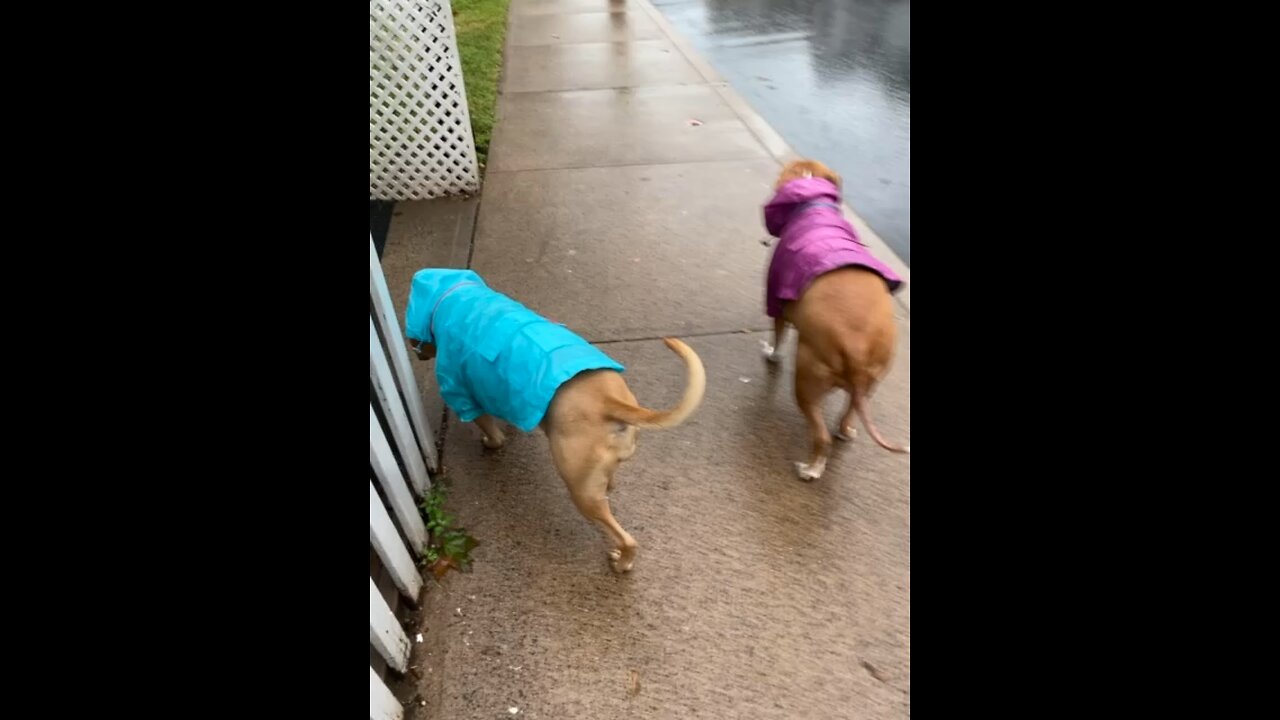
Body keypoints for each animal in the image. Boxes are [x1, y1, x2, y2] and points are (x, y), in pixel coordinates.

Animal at [762, 159, 906, 479]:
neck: (813, 202)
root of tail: (856, 349)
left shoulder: (777, 302)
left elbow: (778, 337)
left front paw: (771, 354)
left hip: (806, 382)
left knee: (821, 436)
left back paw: (811, 469)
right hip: (871, 382)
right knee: (848, 414)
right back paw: (845, 431)